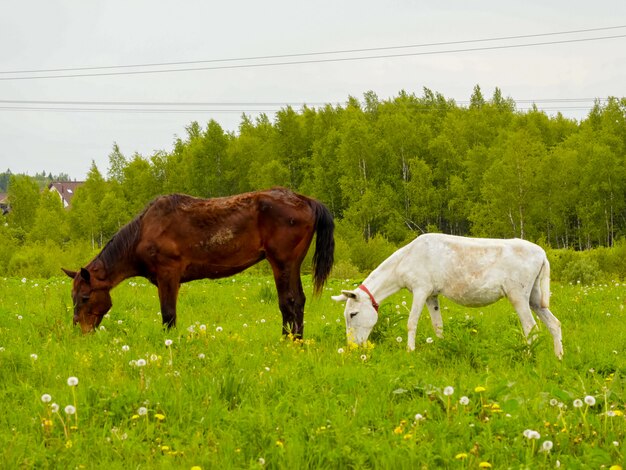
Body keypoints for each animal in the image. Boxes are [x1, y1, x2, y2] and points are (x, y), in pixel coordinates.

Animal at [62, 187, 334, 338]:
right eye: (73, 297)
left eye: (85, 297)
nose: (79, 330)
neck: (144, 231)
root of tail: (306, 201)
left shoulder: (168, 276)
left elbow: (168, 315)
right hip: (292, 265)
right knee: (298, 301)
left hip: (282, 263)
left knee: (288, 303)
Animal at [332, 235, 560, 360]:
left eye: (353, 314)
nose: (353, 347)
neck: (404, 261)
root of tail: (543, 255)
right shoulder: (432, 294)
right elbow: (438, 326)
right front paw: (441, 348)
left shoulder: (421, 289)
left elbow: (411, 322)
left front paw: (410, 351)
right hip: (534, 297)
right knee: (554, 324)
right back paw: (558, 357)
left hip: (518, 295)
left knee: (531, 327)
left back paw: (529, 356)